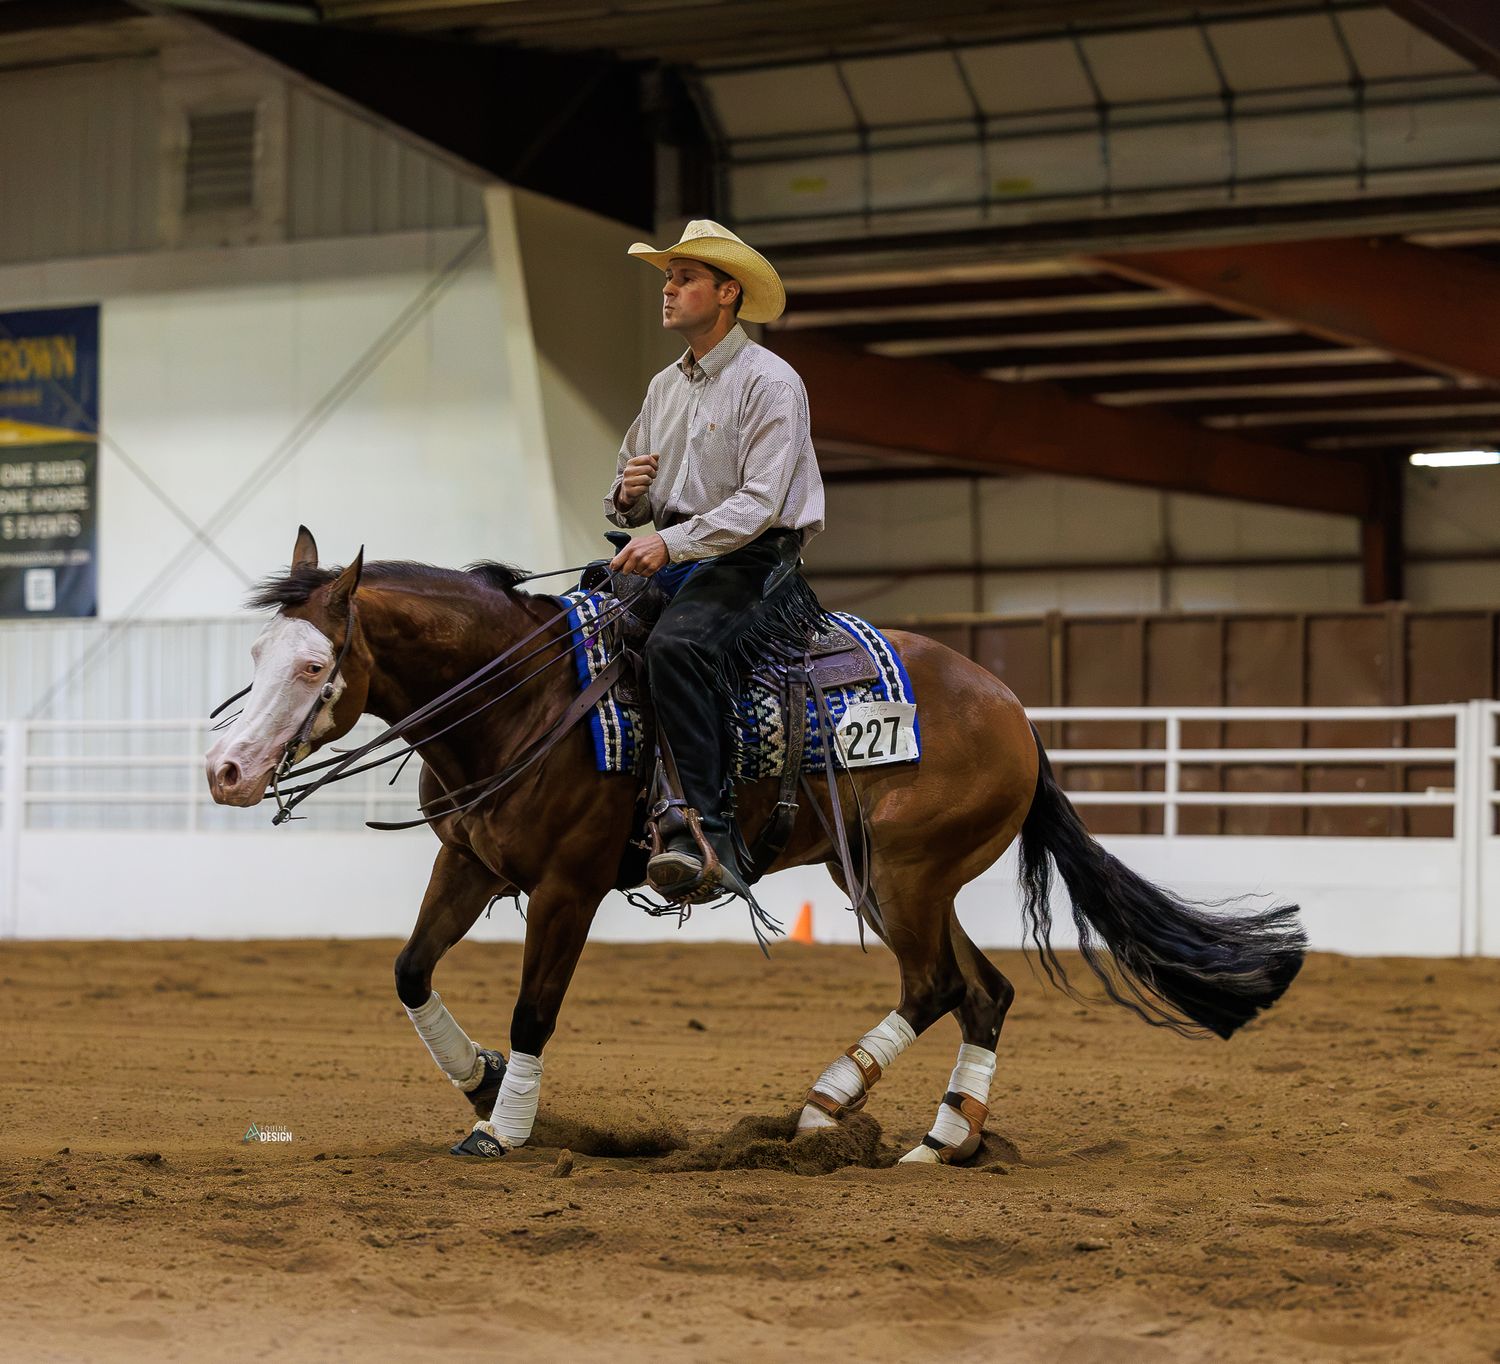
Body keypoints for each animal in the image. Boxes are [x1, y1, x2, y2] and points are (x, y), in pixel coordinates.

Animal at [204, 526, 1306, 1164]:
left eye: (315, 663)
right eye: (257, 649)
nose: (225, 768)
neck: (530, 698)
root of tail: (1016, 715)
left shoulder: (568, 885)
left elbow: (535, 1007)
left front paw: (503, 1125)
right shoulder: (469, 862)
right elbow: (410, 969)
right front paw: (476, 1076)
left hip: (904, 874)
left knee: (937, 986)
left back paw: (831, 1111)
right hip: (888, 880)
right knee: (982, 990)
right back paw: (934, 1136)